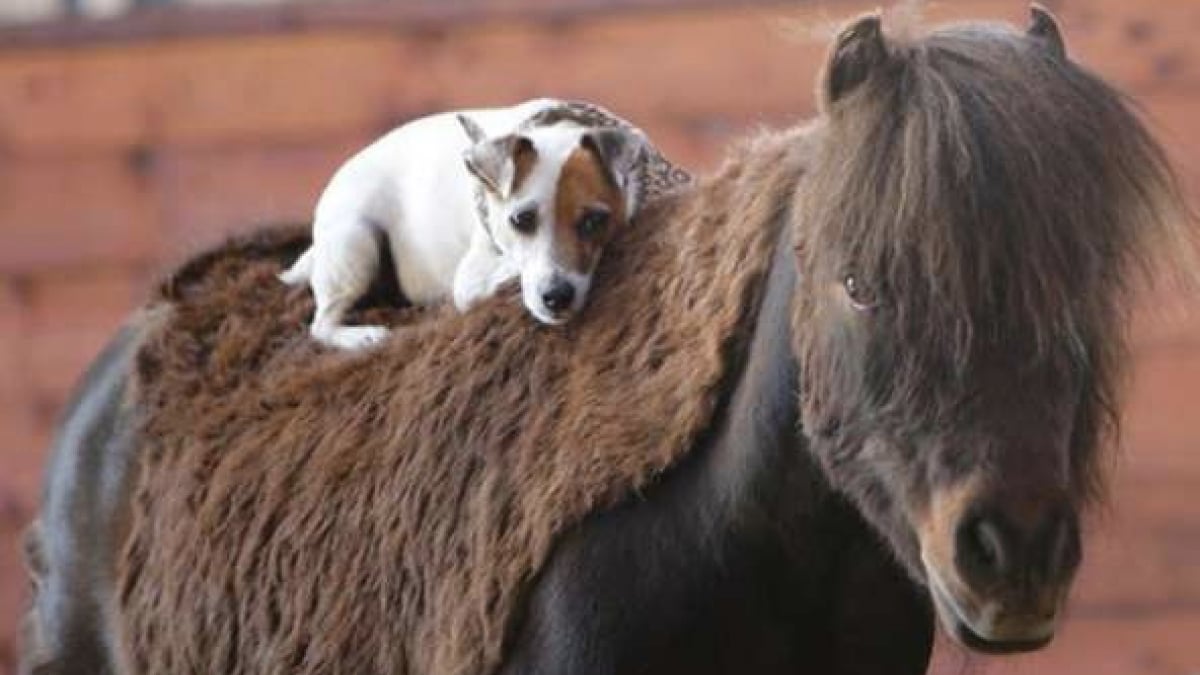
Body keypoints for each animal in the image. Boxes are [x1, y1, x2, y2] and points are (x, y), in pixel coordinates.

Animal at [279, 97, 657, 348]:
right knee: (320, 325)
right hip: (355, 242)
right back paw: (362, 336)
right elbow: (497, 275)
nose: (556, 297)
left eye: (595, 220)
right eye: (520, 219)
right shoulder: (470, 280)